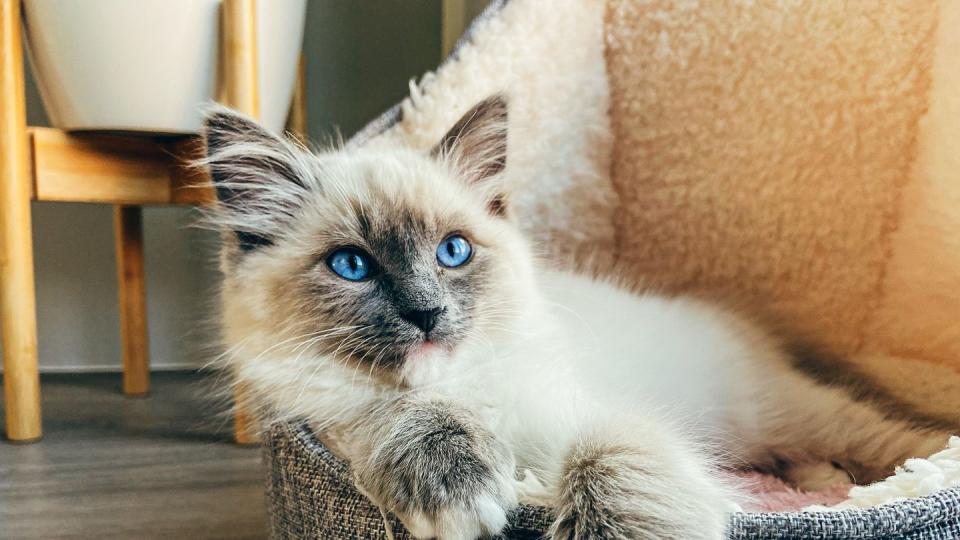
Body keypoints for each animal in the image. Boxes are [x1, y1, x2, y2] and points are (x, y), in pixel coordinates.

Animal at [202, 97, 952, 540]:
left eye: (453, 252)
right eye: (352, 265)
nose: (426, 313)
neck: (468, 390)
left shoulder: (586, 416)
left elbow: (608, 457)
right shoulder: (331, 410)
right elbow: (397, 416)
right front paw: (453, 488)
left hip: (789, 411)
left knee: (890, 438)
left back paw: (915, 464)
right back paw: (822, 483)